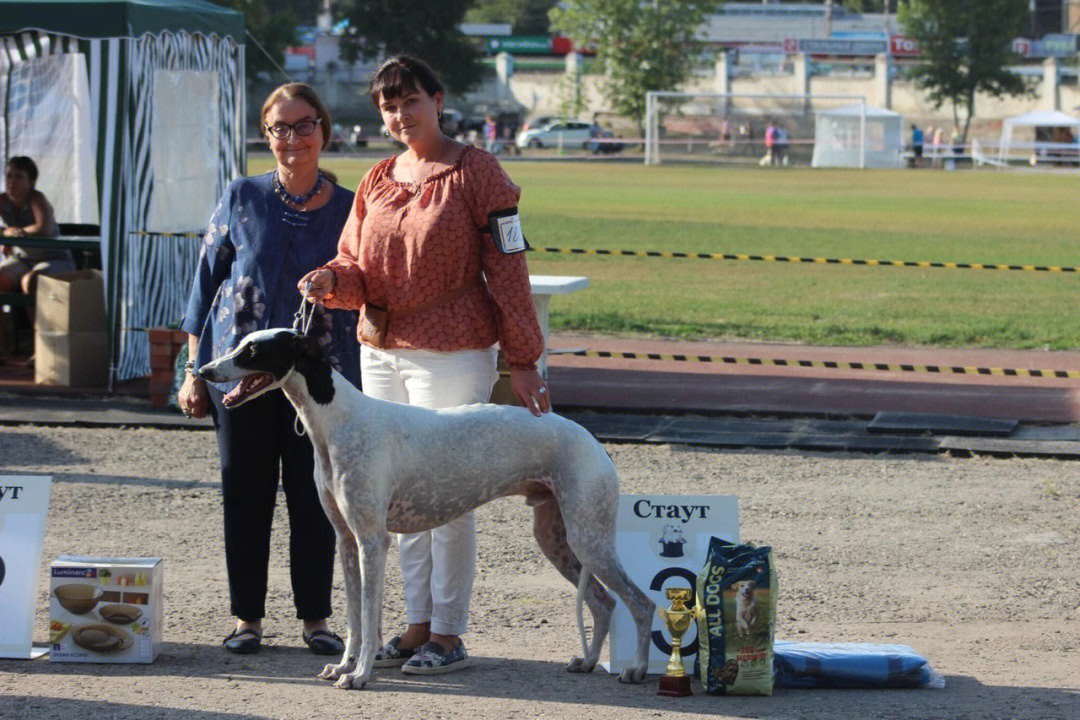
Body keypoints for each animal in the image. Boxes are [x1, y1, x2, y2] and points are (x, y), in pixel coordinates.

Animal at [198, 330, 652, 690]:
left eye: (252, 350)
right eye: (239, 343)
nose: (203, 371)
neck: (339, 420)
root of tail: (594, 442)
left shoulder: (373, 542)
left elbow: (370, 616)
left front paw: (360, 675)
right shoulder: (346, 541)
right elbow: (354, 619)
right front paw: (343, 666)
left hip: (588, 538)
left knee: (639, 602)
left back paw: (636, 670)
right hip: (558, 540)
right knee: (603, 602)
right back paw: (588, 661)